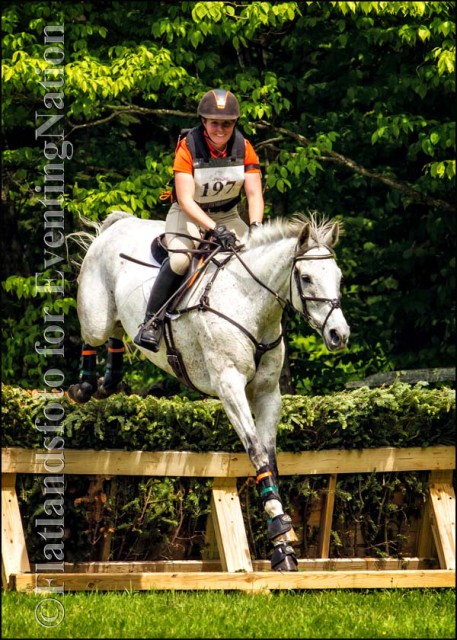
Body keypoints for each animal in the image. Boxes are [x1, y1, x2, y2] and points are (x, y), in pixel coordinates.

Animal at [69, 211, 350, 568]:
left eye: (338, 277)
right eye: (306, 277)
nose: (339, 334)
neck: (250, 302)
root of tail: (118, 223)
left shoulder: (267, 393)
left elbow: (270, 459)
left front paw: (283, 547)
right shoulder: (229, 386)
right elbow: (257, 453)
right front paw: (279, 527)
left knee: (117, 334)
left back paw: (108, 381)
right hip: (97, 315)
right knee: (92, 335)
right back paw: (85, 386)